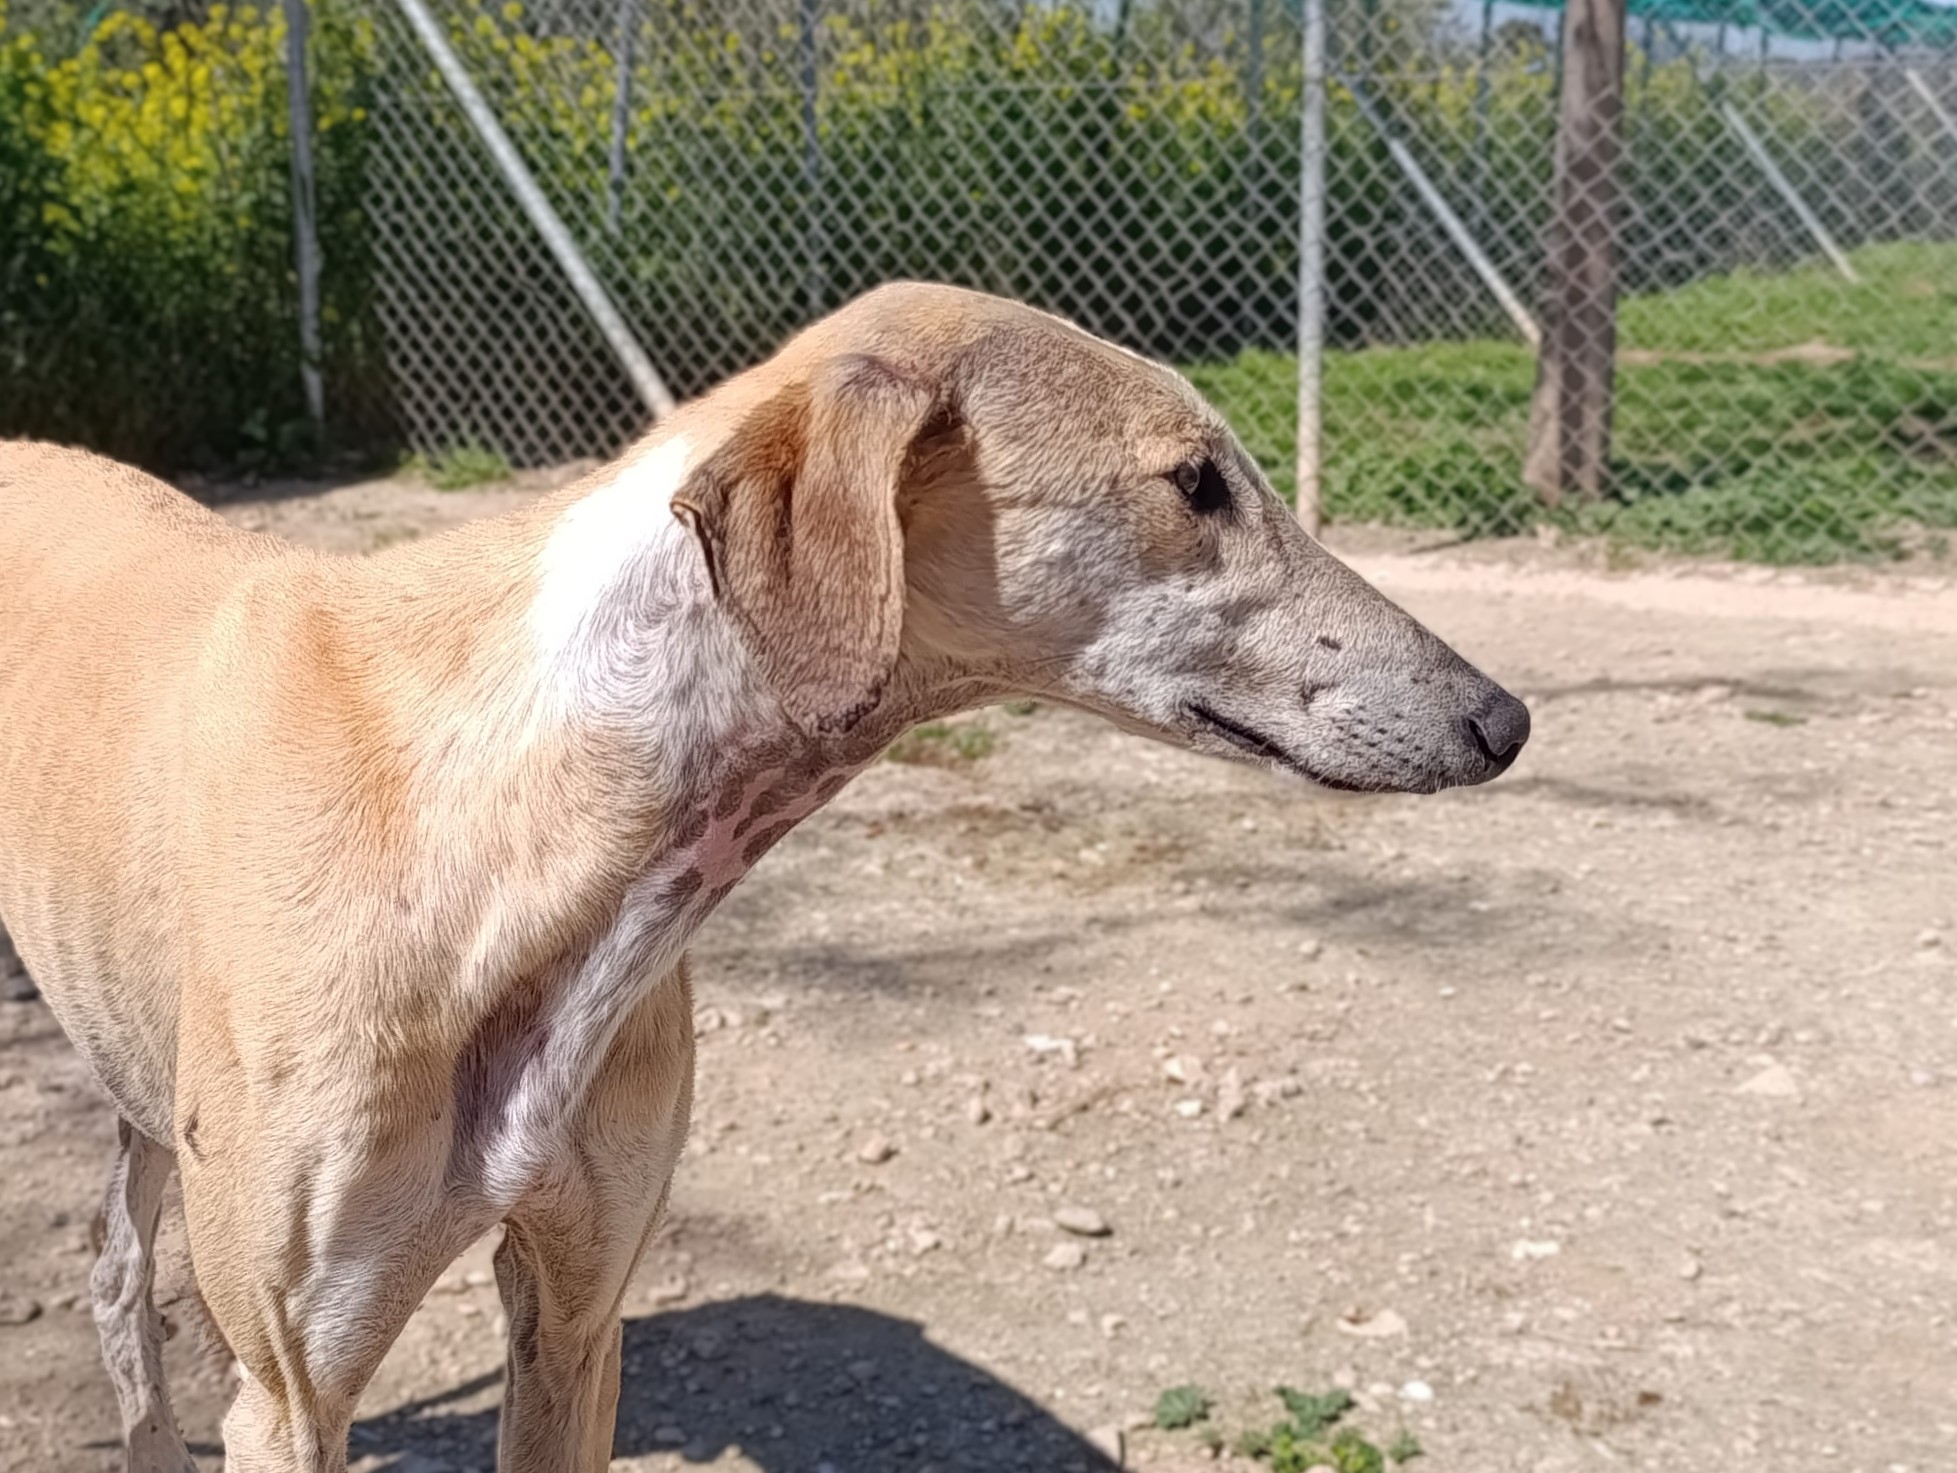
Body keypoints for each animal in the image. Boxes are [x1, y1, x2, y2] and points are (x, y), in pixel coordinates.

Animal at [0, 283, 1528, 1472]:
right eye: (1194, 481)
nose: (1503, 717)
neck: (507, 808)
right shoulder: (294, 1387)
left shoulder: (576, 1312)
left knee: (115, 1269)